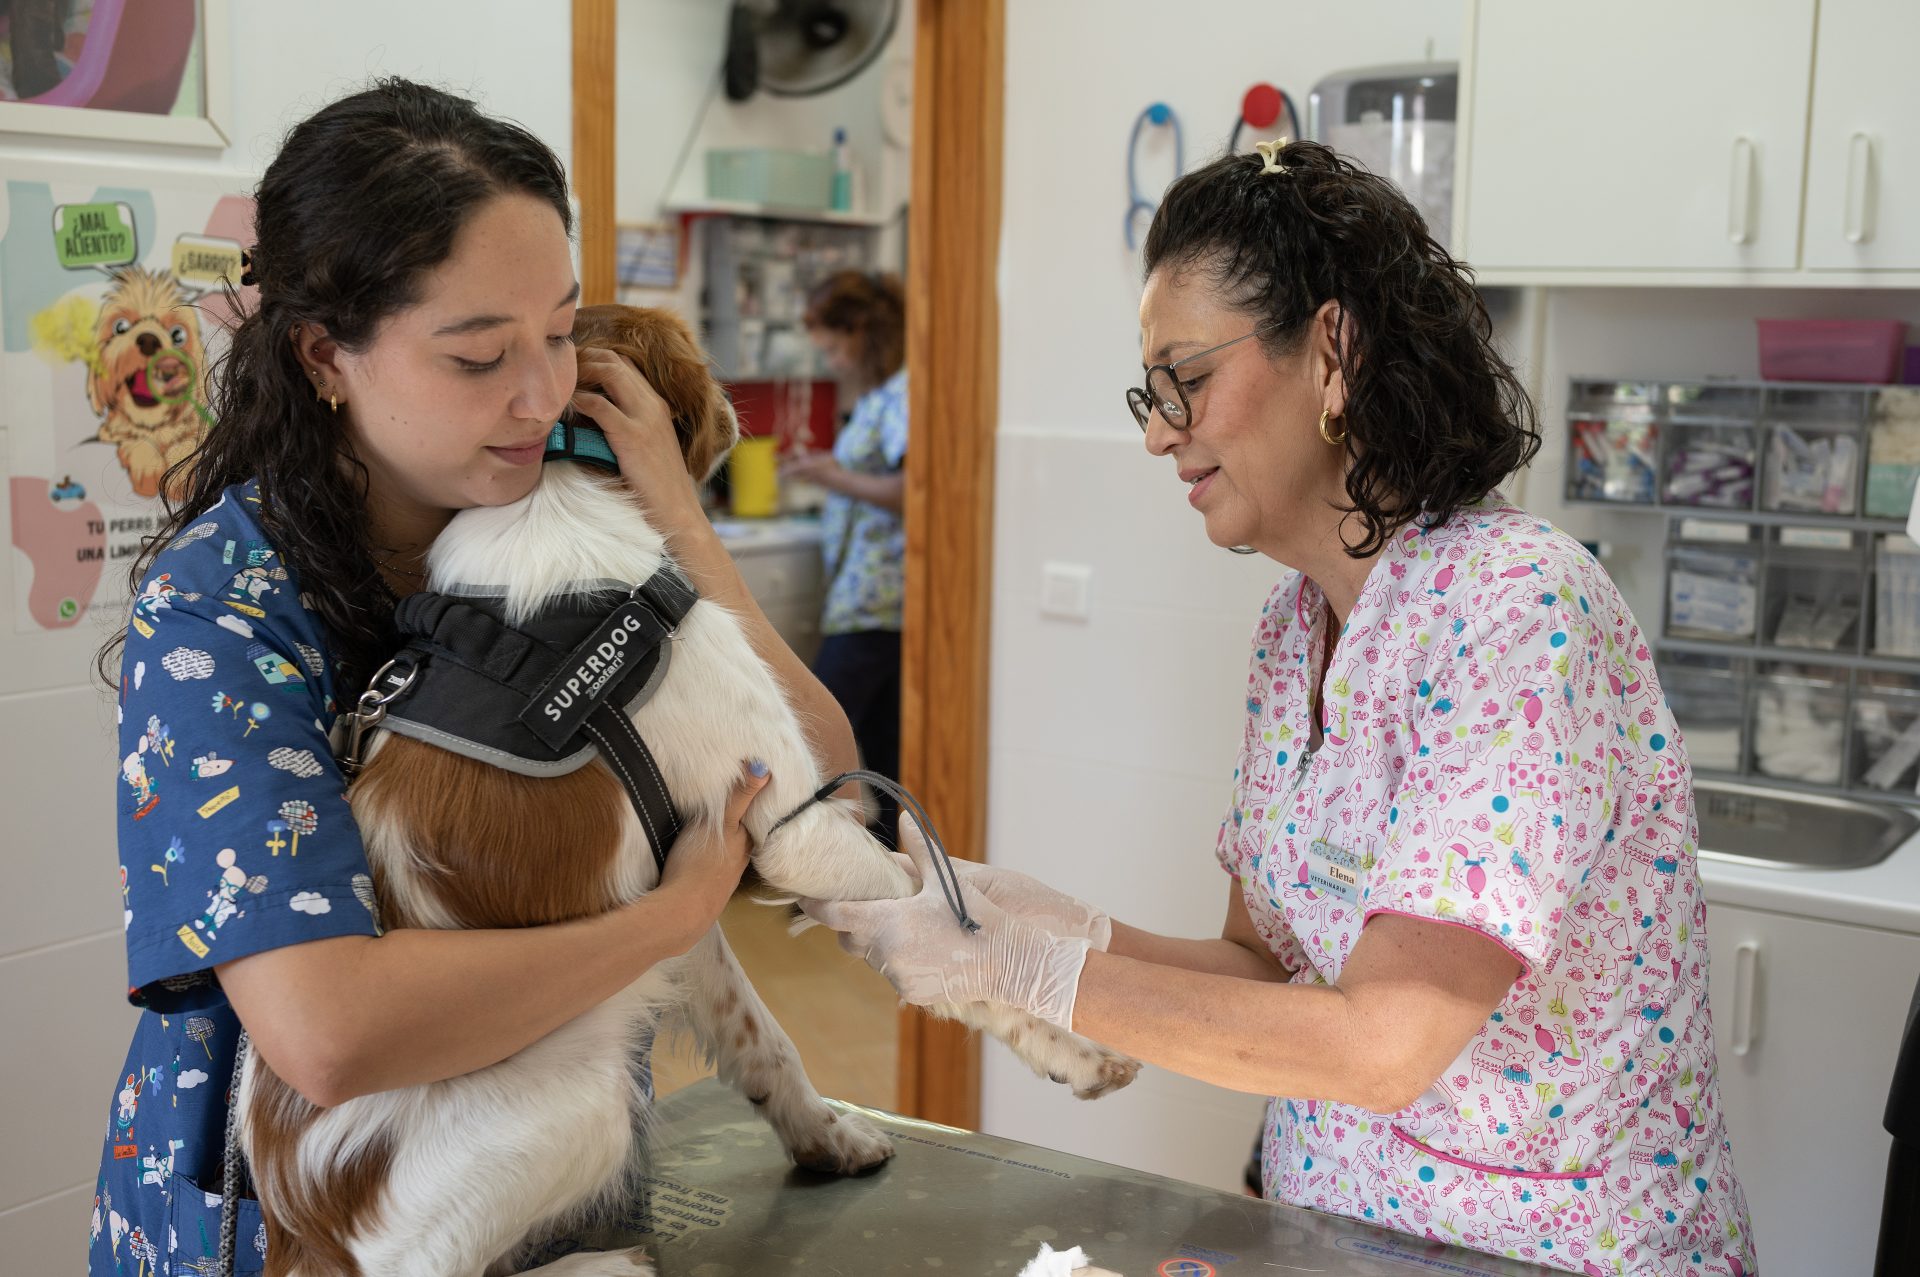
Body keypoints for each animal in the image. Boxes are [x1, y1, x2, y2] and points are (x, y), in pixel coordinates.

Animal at [90, 266, 209, 499]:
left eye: (178, 335)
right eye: (120, 327)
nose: (148, 340)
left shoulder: (194, 433)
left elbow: (186, 445)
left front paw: (180, 478)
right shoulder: (117, 435)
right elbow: (137, 442)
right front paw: (148, 470)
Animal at [240, 307, 1136, 1275]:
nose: (751, 416)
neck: (556, 482)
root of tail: (303, 1228)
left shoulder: (684, 897)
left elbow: (763, 1036)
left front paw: (825, 1134)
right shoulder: (789, 829)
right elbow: (936, 912)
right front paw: (1073, 1045)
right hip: (584, 1094)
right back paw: (603, 1261)